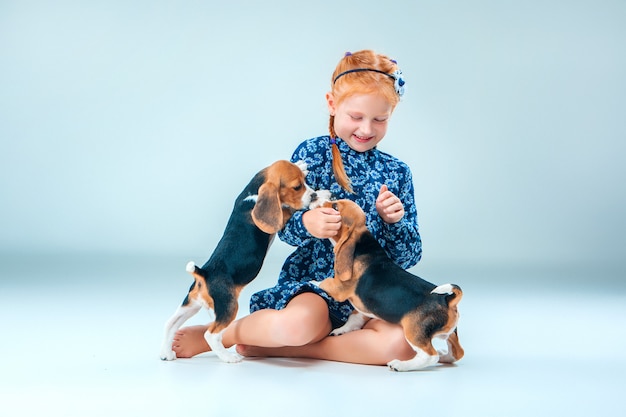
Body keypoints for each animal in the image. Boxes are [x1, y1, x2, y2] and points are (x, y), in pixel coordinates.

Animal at [160, 161, 322, 362]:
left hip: (191, 304)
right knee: (211, 335)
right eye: (297, 187)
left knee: (170, 323)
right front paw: (320, 198)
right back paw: (228, 357)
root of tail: (204, 273)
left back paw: (167, 353)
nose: (313, 195)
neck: (251, 193)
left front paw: (302, 165)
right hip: (228, 306)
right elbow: (288, 209)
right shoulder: (281, 216)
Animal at [316, 198, 464, 370]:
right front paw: (341, 330)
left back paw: (400, 365)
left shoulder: (339, 288)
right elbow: (354, 319)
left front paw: (307, 280)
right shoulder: (361, 308)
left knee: (429, 356)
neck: (362, 246)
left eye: (334, 206)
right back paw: (444, 356)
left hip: (413, 332)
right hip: (450, 333)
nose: (316, 198)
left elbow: (323, 282)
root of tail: (446, 299)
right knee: (458, 353)